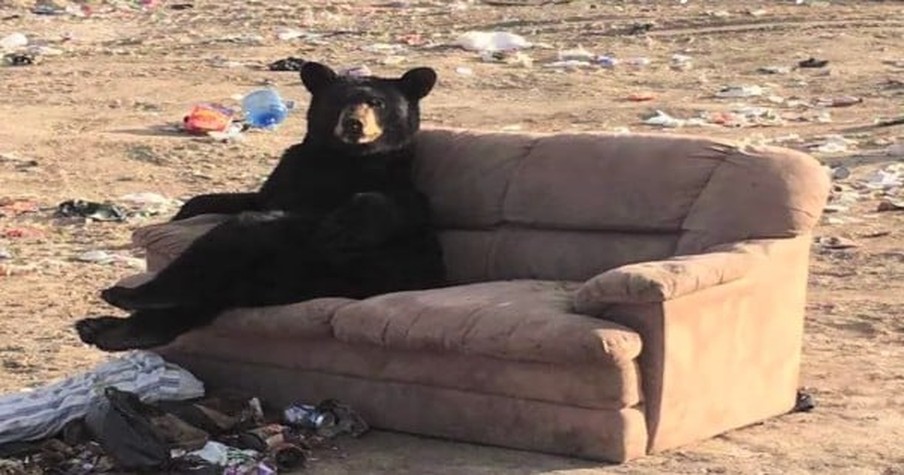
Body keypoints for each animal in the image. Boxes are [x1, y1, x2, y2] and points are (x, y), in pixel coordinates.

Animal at [76, 62, 446, 354]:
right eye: (338, 100)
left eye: (377, 103)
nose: (354, 123)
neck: (342, 157)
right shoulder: (288, 173)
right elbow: (239, 198)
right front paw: (185, 211)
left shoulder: (390, 180)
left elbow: (394, 206)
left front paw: (345, 221)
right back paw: (109, 327)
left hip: (322, 265)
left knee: (240, 238)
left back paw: (126, 300)